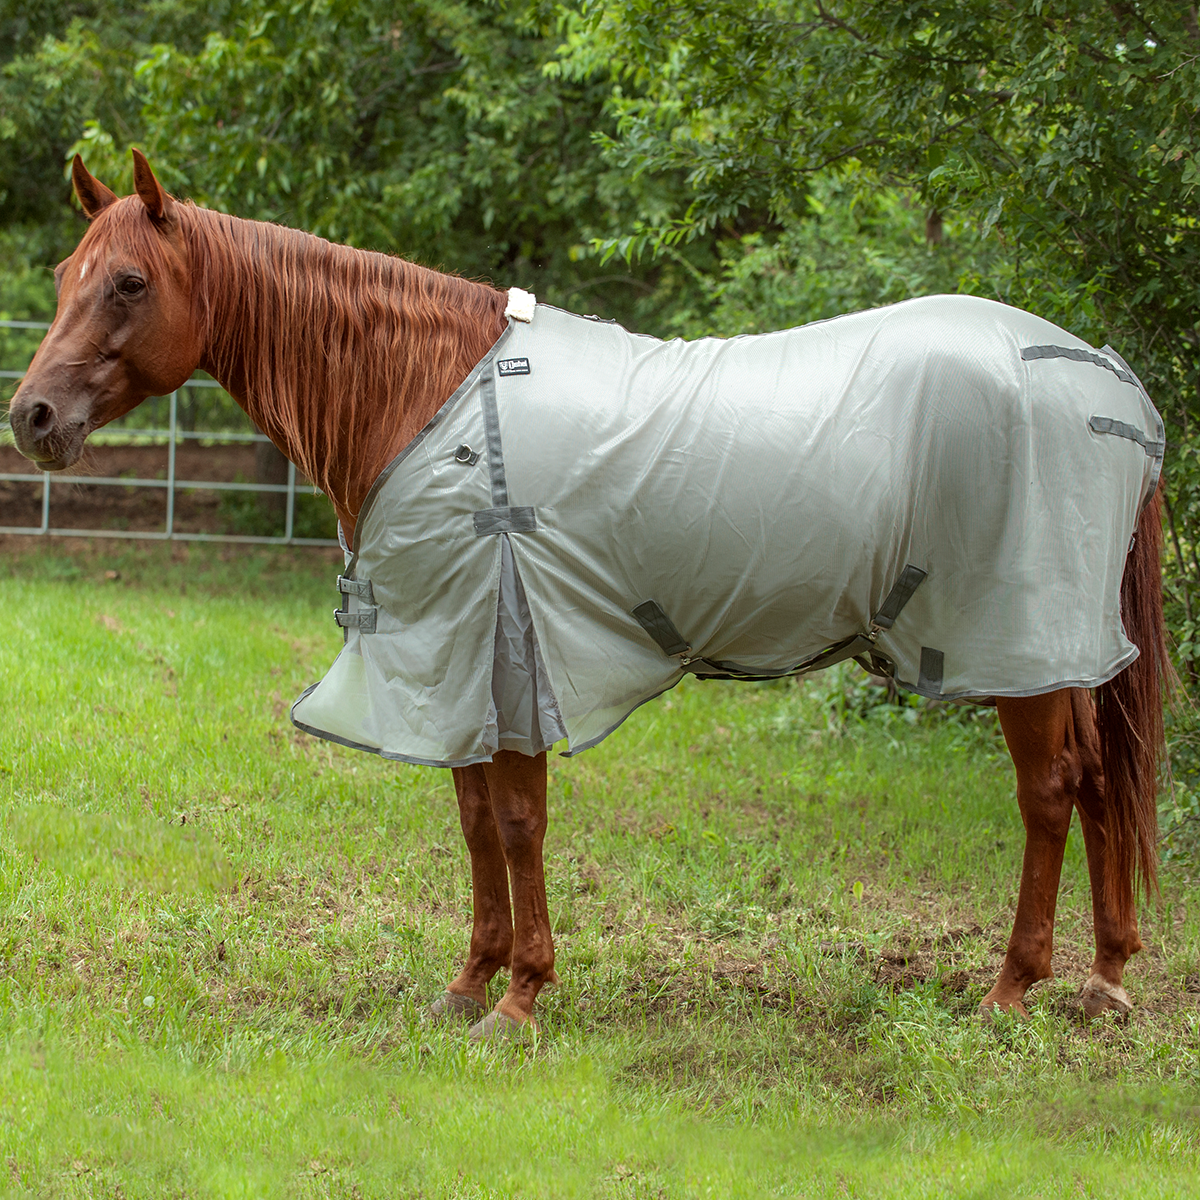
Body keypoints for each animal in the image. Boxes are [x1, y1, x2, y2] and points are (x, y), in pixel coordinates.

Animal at [7, 145, 1171, 1036]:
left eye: (130, 283)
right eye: (65, 273)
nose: (32, 418)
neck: (426, 397)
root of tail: (1109, 379)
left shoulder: (505, 646)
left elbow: (518, 821)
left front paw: (521, 1000)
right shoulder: (451, 666)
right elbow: (474, 819)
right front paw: (468, 982)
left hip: (1014, 637)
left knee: (1051, 790)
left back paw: (1014, 990)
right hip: (1059, 647)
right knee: (1101, 779)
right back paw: (1105, 980)